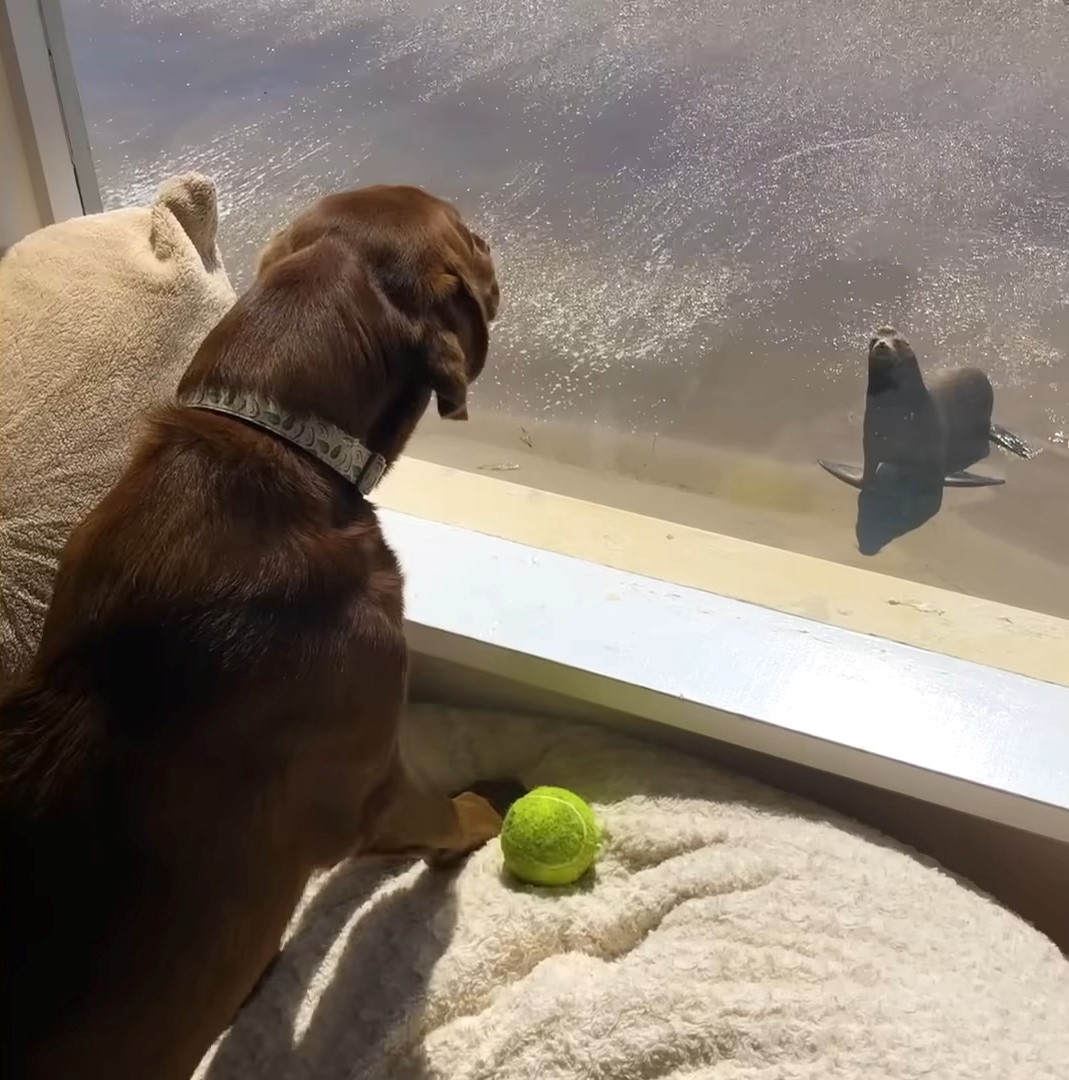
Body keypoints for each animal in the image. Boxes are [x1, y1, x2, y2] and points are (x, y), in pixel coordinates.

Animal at [0, 185, 505, 1080]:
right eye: (467, 237)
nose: (496, 242)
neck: (272, 443)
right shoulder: (370, 783)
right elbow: (441, 818)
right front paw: (486, 814)